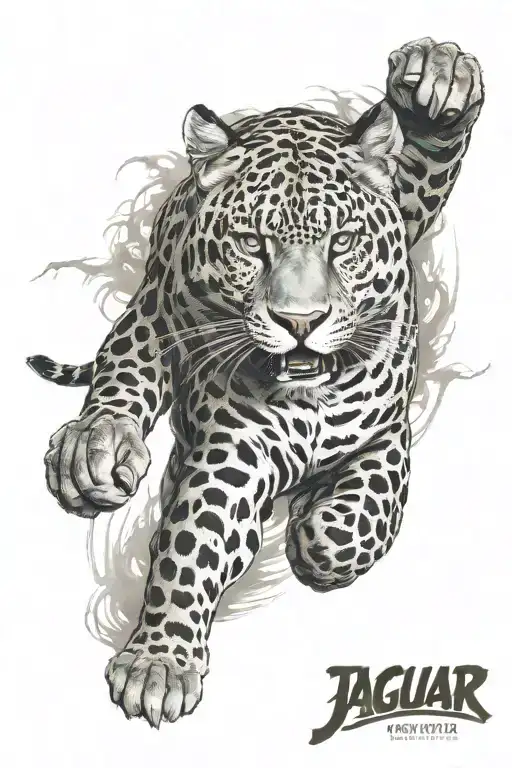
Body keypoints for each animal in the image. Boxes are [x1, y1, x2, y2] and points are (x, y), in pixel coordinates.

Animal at [27, 38, 484, 727]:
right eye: (251, 242)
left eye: (342, 241)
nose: (300, 322)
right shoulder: (234, 455)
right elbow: (192, 544)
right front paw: (160, 662)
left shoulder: (385, 443)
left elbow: (351, 529)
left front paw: (312, 532)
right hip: (155, 306)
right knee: (127, 367)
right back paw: (97, 448)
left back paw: (438, 79)